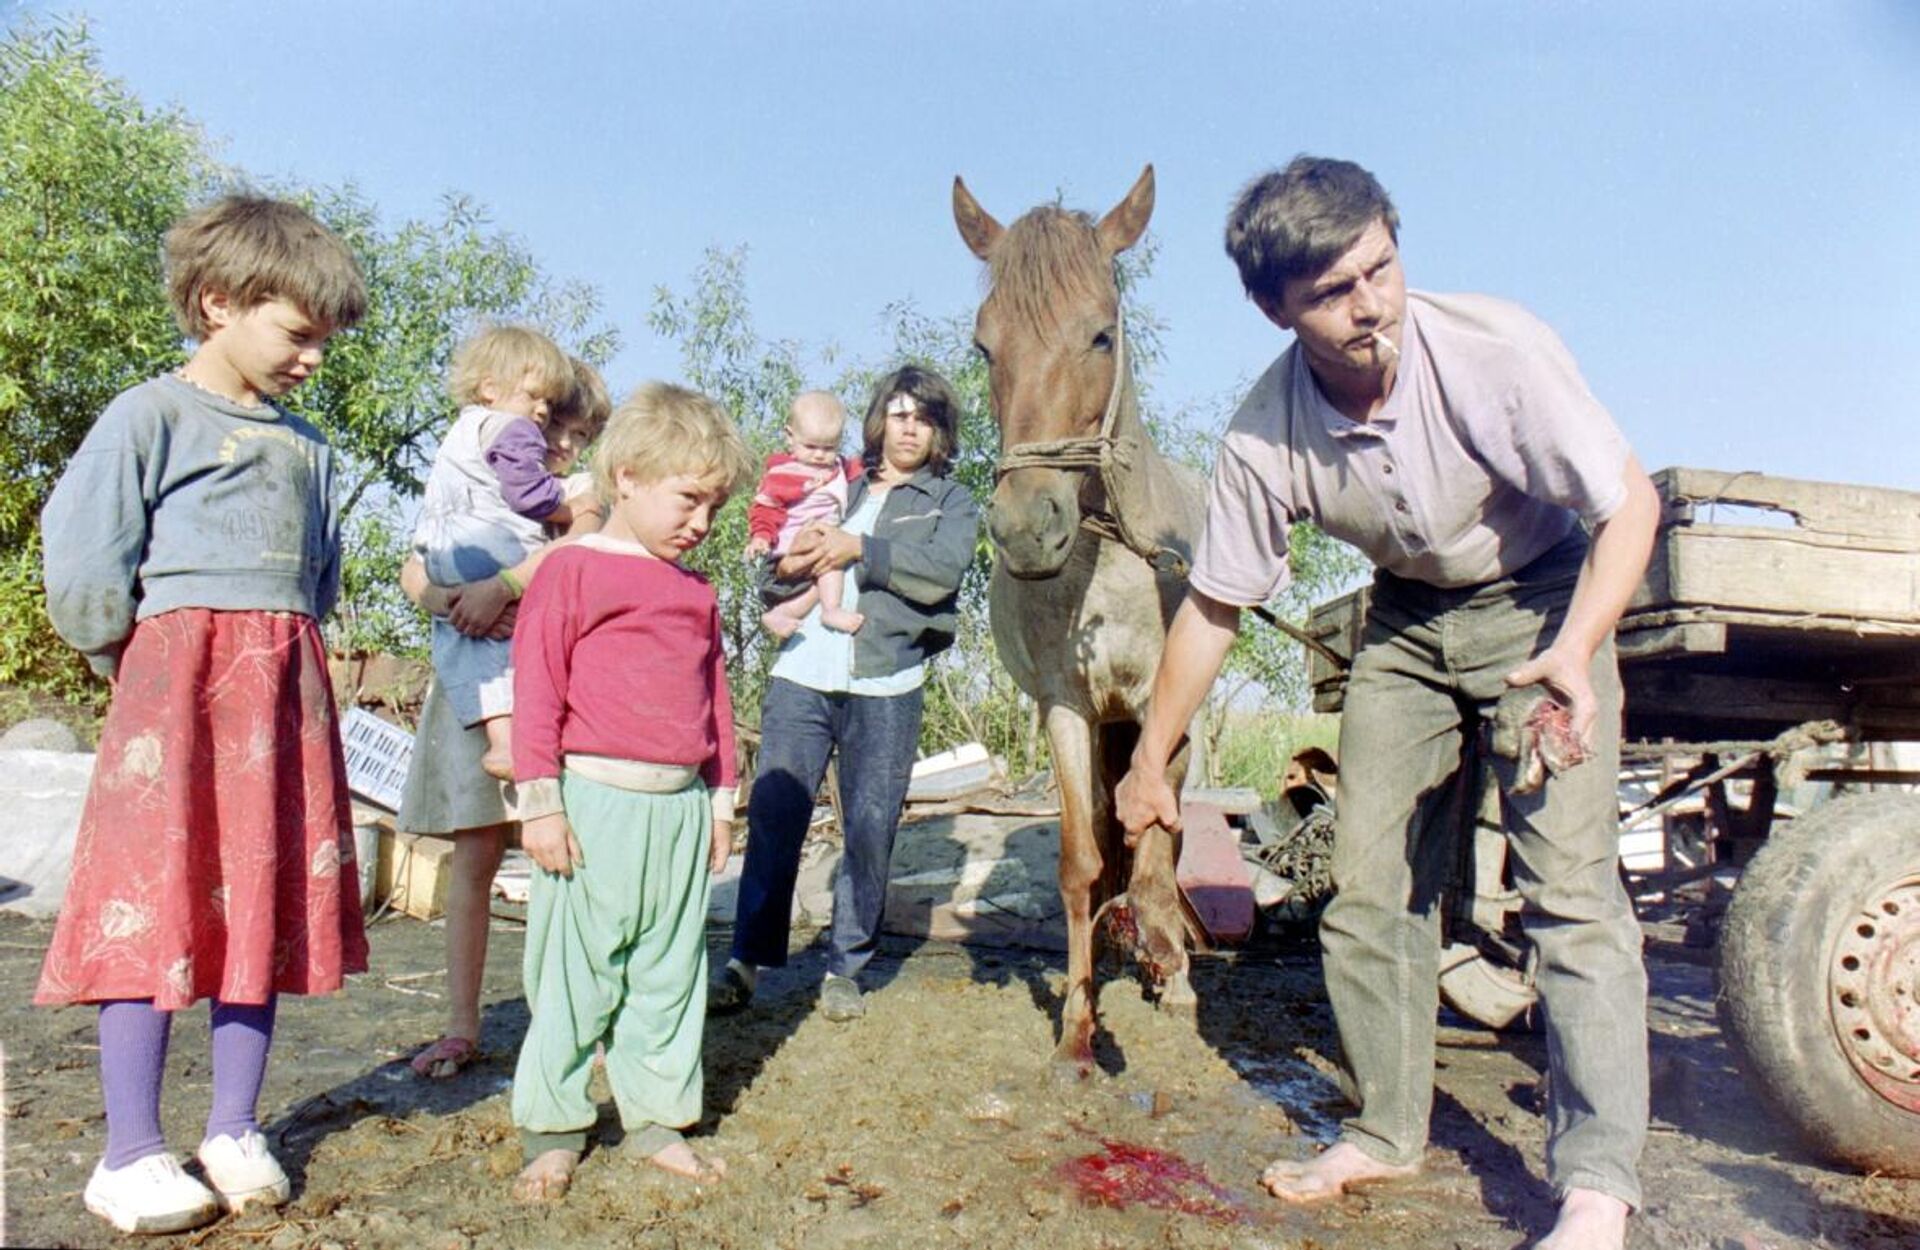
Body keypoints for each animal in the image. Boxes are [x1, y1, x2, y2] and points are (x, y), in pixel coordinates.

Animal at [956, 161, 1205, 1067]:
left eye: (1101, 335)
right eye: (984, 345)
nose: (1028, 527)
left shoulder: (1159, 706)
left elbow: (1157, 853)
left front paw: (1171, 972)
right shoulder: (1067, 706)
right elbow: (1080, 859)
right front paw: (1077, 1027)